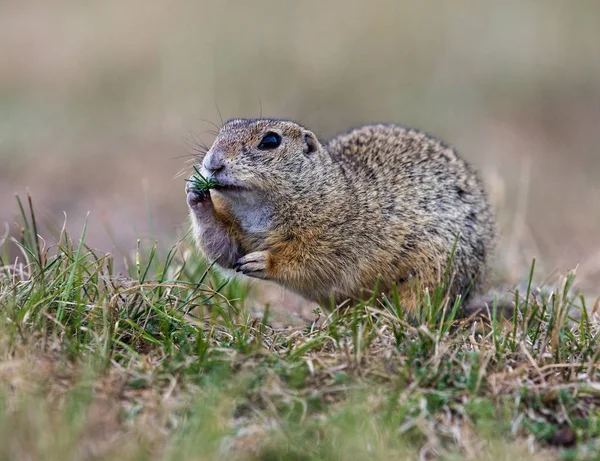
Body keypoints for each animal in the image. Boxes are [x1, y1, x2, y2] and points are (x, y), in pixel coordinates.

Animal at [188, 117, 496, 314]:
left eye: (270, 140)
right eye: (222, 131)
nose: (213, 163)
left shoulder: (334, 238)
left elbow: (310, 263)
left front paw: (263, 261)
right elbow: (224, 249)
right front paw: (196, 193)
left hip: (433, 273)